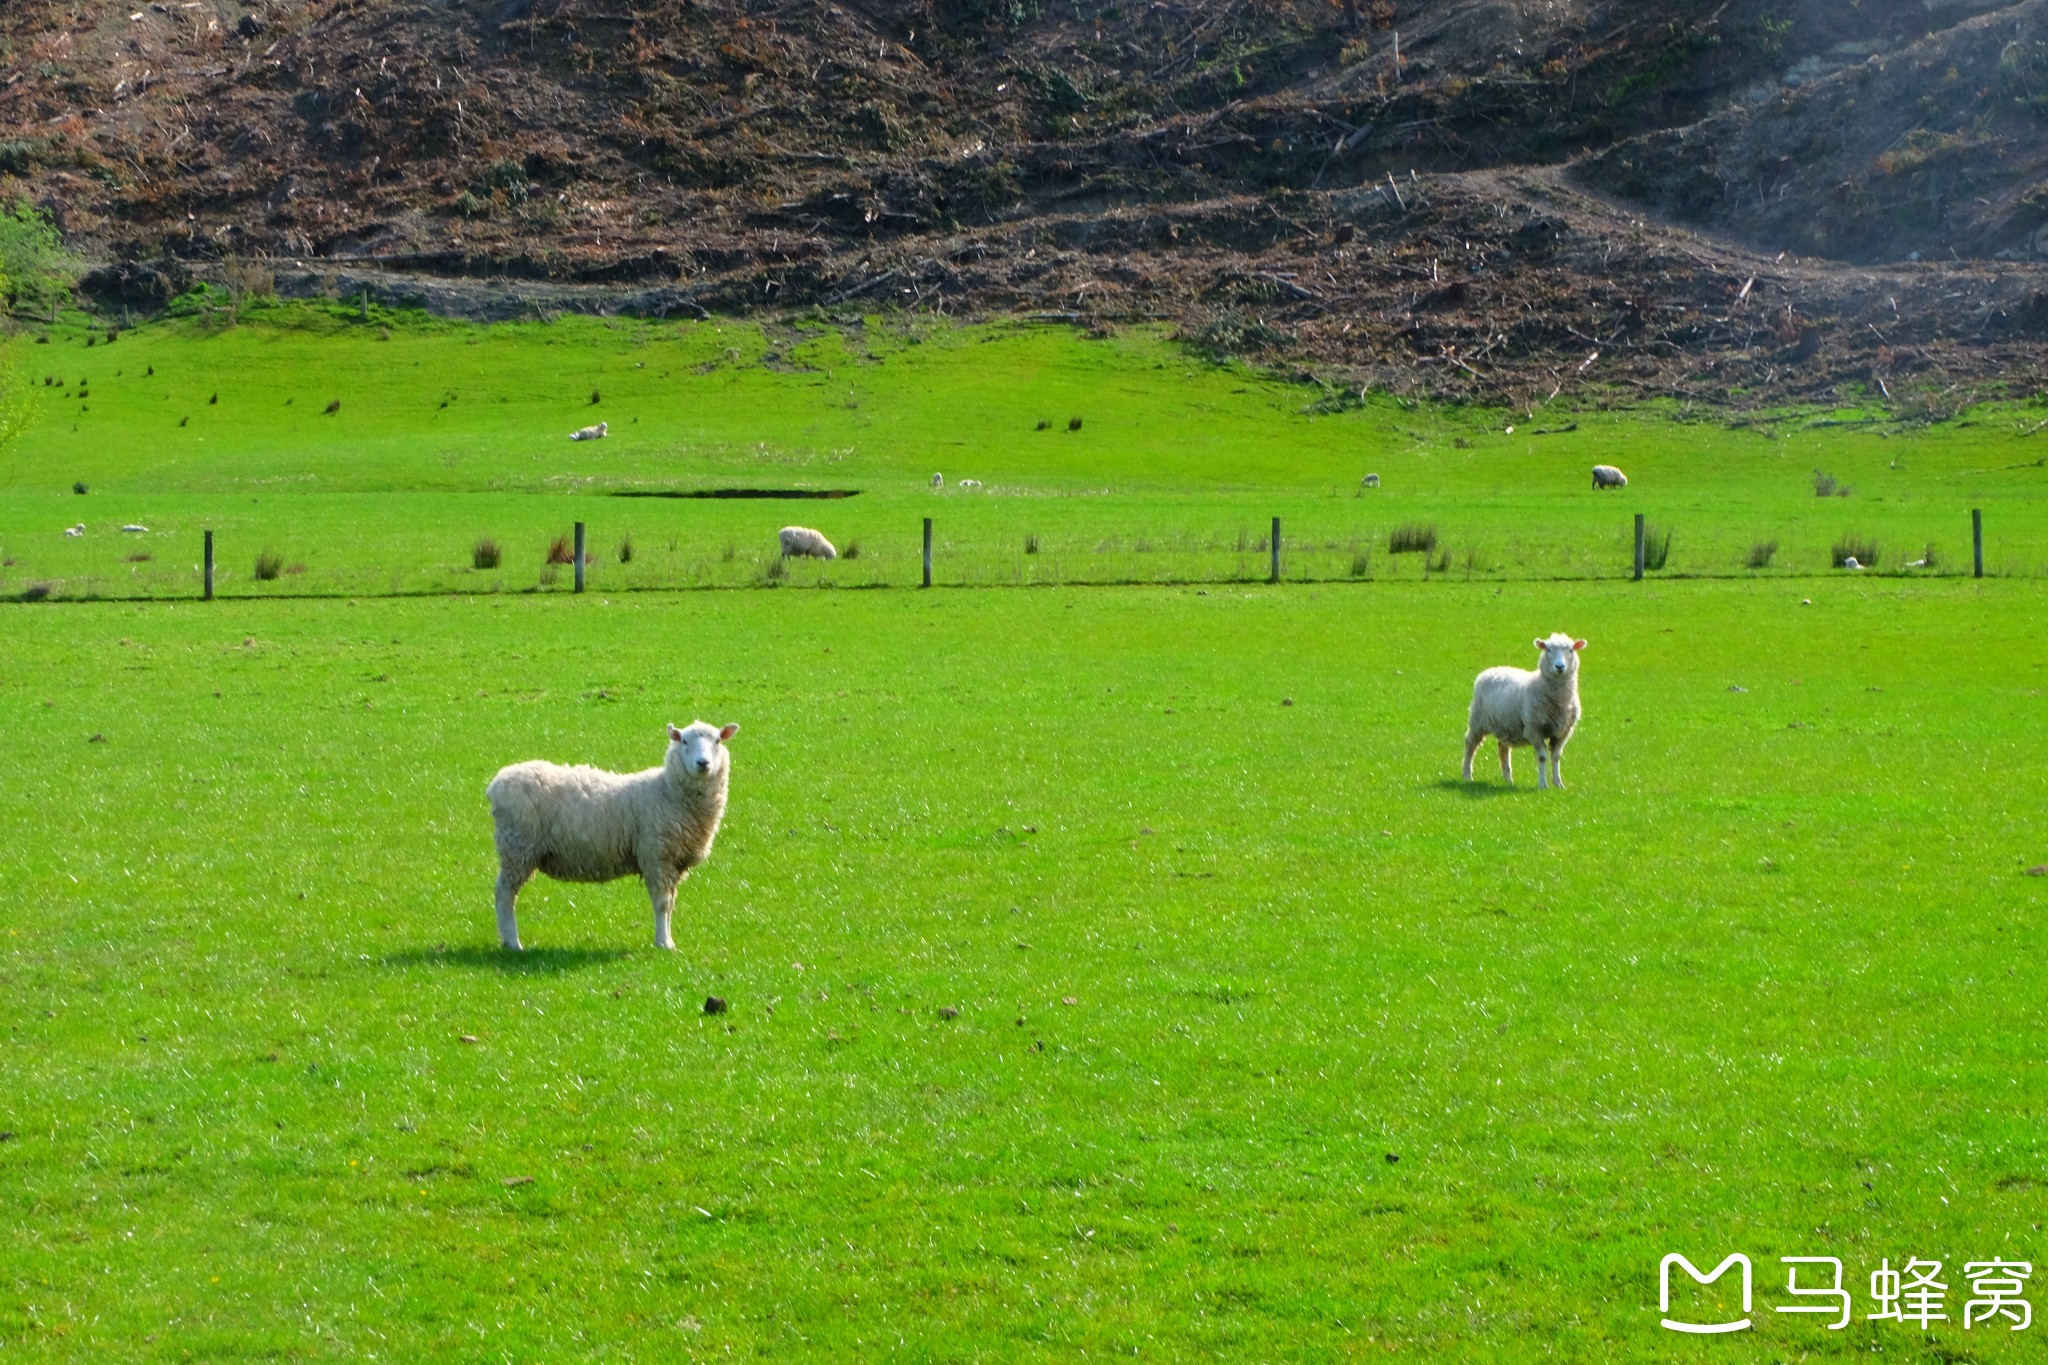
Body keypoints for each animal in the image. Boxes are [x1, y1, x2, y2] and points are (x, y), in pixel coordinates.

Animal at [487, 720, 745, 957]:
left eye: (717, 741)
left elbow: (671, 904)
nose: (703, 764)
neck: (667, 792)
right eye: (684, 741)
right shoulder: (656, 856)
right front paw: (663, 943)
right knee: (504, 894)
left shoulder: (674, 861)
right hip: (517, 847)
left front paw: (669, 940)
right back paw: (512, 942)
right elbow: (662, 903)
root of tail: (496, 784)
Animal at [1458, 638, 1581, 794]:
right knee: (1470, 743)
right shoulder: (1534, 729)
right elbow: (1542, 757)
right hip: (1478, 720)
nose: (1560, 666)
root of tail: (1491, 670)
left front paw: (1558, 784)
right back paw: (1467, 775)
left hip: (1506, 725)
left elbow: (1556, 757)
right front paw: (1543, 785)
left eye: (1571, 649)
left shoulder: (1563, 731)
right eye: (1548, 649)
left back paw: (1508, 780)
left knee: (1503, 749)